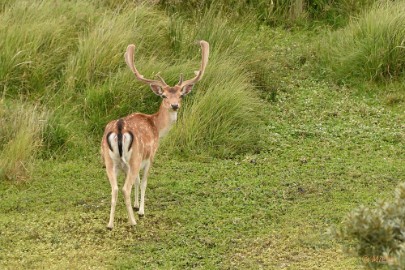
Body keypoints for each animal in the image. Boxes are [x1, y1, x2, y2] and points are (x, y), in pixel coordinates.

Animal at [100, 40, 208, 230]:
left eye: (181, 95)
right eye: (163, 95)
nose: (174, 105)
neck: (156, 126)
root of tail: (119, 128)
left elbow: (136, 181)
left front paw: (136, 205)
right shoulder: (151, 156)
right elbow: (143, 182)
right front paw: (141, 210)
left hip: (109, 160)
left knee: (114, 189)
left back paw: (110, 224)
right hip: (134, 158)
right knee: (124, 189)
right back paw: (133, 222)